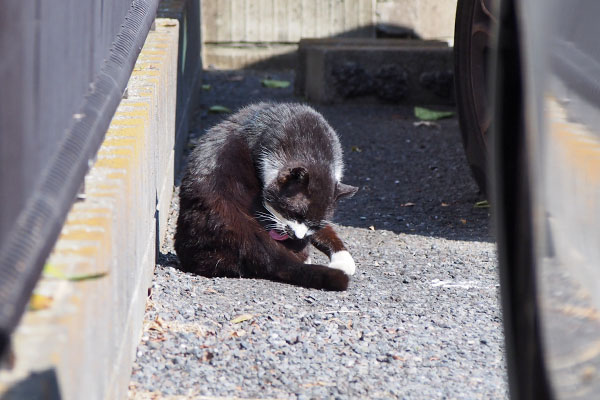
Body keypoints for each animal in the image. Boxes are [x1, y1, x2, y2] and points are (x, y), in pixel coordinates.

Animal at [176, 103, 358, 290]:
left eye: (314, 224)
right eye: (294, 213)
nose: (297, 236)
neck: (314, 149)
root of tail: (248, 238)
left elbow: (324, 229)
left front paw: (343, 258)